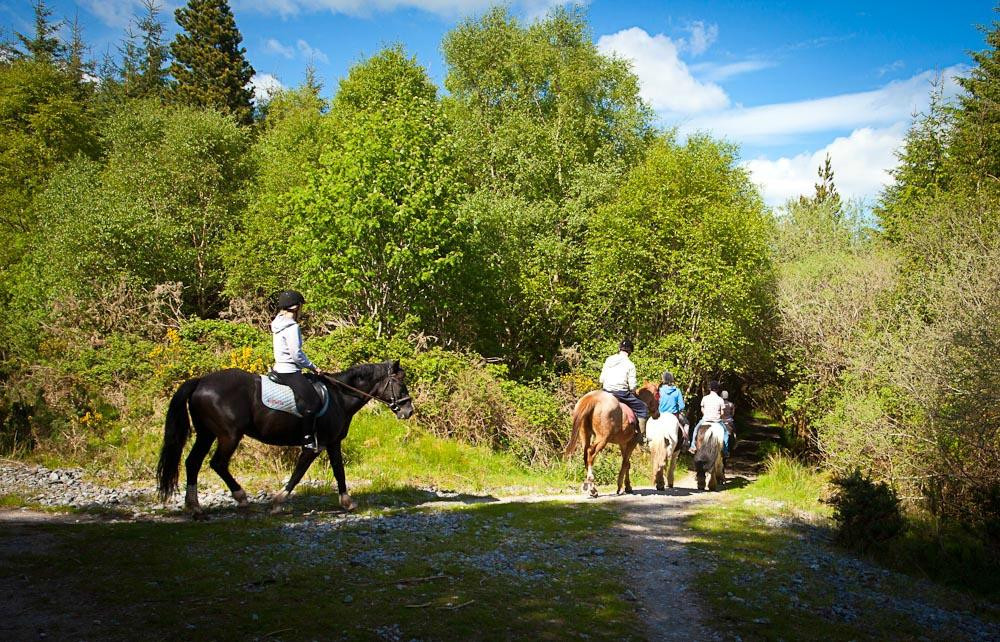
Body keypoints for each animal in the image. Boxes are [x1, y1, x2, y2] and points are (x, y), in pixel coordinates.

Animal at [154, 358, 412, 512]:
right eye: (401, 383)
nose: (408, 411)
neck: (339, 396)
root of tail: (200, 382)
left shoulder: (333, 443)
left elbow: (339, 471)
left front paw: (347, 502)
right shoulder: (315, 446)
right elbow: (298, 473)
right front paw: (278, 501)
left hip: (206, 434)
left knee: (192, 462)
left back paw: (194, 507)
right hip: (229, 435)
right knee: (217, 463)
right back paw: (240, 497)